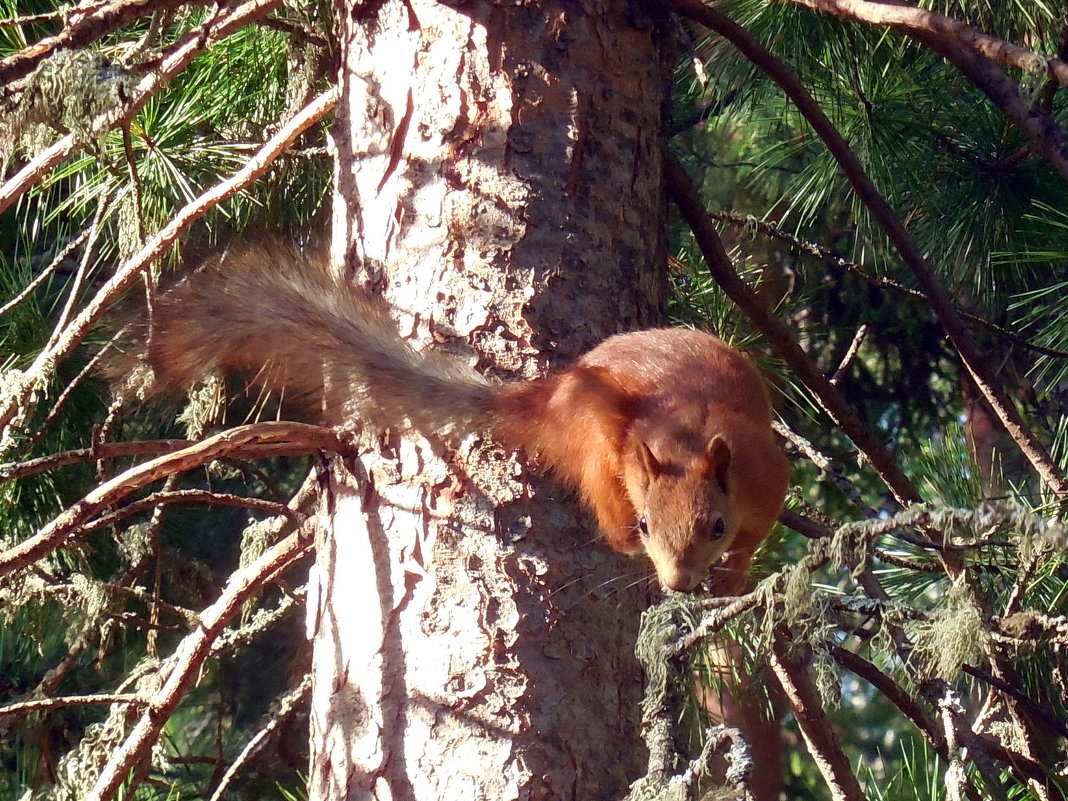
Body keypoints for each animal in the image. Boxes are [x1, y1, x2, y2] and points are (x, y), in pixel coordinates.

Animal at [127, 241, 794, 593]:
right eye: (655, 524)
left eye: (714, 525)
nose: (678, 585)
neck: (691, 438)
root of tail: (552, 393)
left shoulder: (767, 478)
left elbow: (756, 534)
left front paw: (733, 577)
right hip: (599, 441)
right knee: (600, 497)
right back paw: (621, 541)